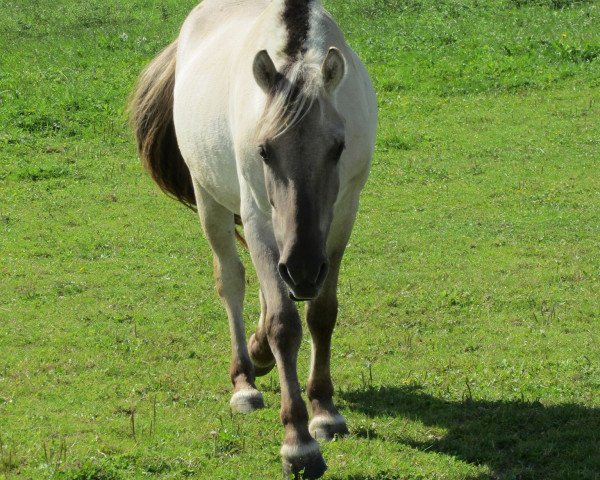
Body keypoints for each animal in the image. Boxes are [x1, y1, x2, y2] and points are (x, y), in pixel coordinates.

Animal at [130, 0, 376, 476]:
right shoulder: (259, 219)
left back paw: (260, 354)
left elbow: (322, 314)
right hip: (211, 201)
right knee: (232, 281)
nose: (303, 270)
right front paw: (298, 443)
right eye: (263, 150)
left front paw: (325, 411)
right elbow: (284, 323)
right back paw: (244, 378)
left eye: (337, 148)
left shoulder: (342, 219)